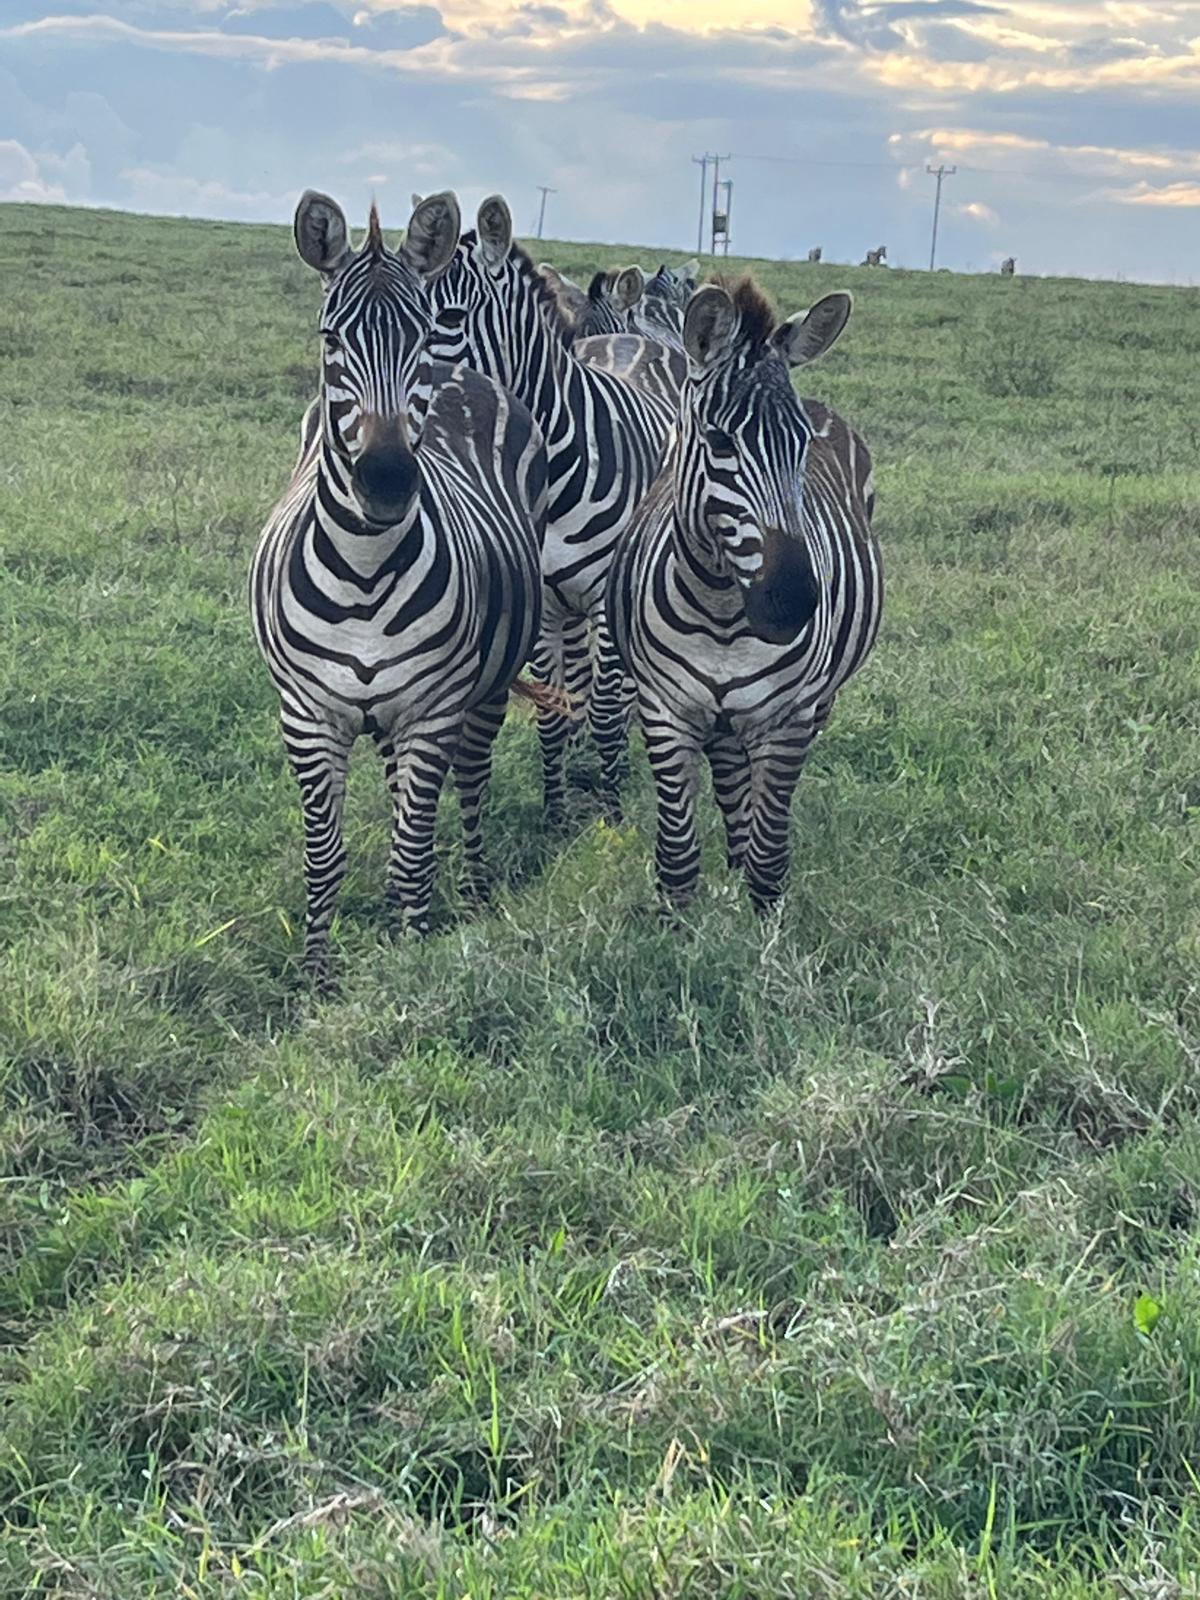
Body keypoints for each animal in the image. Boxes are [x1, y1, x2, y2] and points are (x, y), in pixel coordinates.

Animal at [259, 192, 553, 979]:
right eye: (330, 338)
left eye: (418, 337)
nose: (388, 482)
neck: (364, 567)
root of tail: (467, 373)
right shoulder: (309, 717)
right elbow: (326, 858)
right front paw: (317, 976)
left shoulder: (430, 711)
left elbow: (413, 854)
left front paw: (411, 955)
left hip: (479, 691)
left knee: (471, 784)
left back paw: (476, 890)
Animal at [428, 193, 681, 825]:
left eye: (449, 318)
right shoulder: (545, 604)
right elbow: (554, 706)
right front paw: (556, 810)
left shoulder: (607, 602)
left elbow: (609, 710)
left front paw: (613, 816)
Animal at [611, 278, 883, 915]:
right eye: (717, 440)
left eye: (803, 445)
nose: (792, 602)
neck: (720, 613)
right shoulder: (665, 710)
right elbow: (678, 855)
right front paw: (680, 929)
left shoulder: (789, 717)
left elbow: (770, 851)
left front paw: (764, 929)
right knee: (732, 778)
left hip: (814, 702)